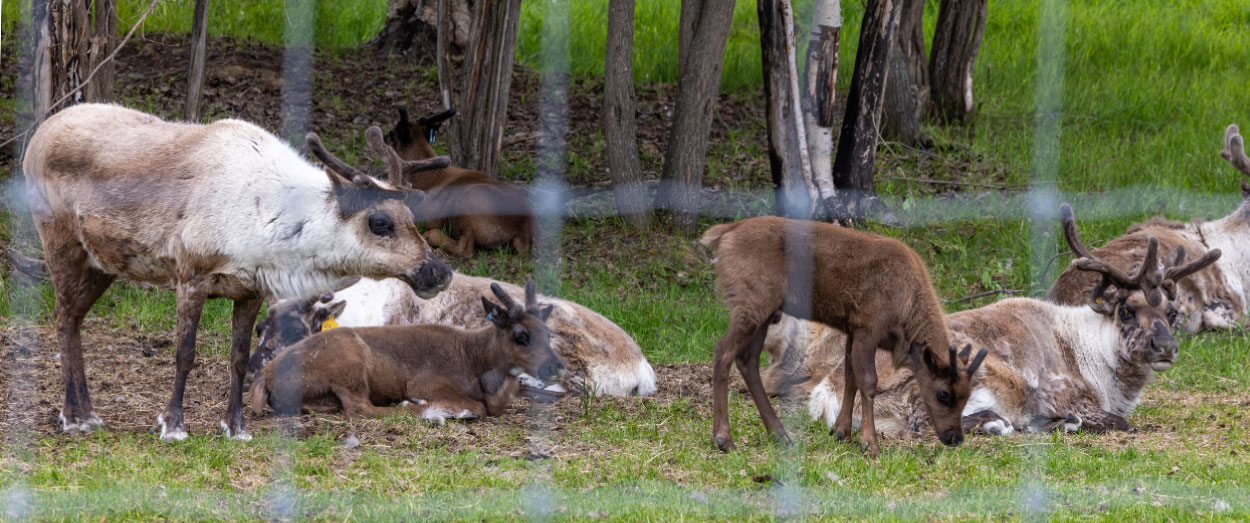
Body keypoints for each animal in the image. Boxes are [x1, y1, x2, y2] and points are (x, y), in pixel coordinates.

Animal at [22, 103, 453, 441]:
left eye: (411, 216)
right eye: (380, 222)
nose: (439, 272)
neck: (266, 223)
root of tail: (35, 138)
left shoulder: (249, 290)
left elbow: (240, 359)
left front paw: (235, 427)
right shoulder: (191, 276)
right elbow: (184, 354)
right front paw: (173, 425)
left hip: (102, 263)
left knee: (75, 319)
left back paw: (88, 412)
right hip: (60, 242)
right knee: (62, 317)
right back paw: (72, 417)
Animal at [249, 280, 564, 424]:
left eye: (548, 334)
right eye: (520, 335)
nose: (556, 367)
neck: (476, 363)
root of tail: (264, 377)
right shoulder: (426, 381)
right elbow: (477, 407)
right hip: (350, 365)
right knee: (360, 408)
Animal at [382, 107, 533, 258]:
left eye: (392, 135)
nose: (383, 138)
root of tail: (523, 226)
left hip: (468, 199)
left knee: (465, 248)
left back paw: (432, 235)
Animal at [701, 216, 987, 456]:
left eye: (967, 394)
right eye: (943, 394)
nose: (954, 437)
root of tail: (721, 235)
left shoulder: (852, 330)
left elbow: (850, 378)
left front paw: (841, 432)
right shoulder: (868, 328)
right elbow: (868, 382)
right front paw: (870, 444)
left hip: (764, 312)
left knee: (747, 360)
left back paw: (780, 434)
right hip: (751, 304)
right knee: (723, 351)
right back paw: (723, 439)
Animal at [763, 204, 1221, 437]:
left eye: (1172, 313)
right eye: (1127, 309)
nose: (1166, 348)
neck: (1092, 356)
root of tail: (827, 391)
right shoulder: (1061, 392)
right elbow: (1121, 422)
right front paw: (1061, 422)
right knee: (920, 424)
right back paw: (1004, 424)